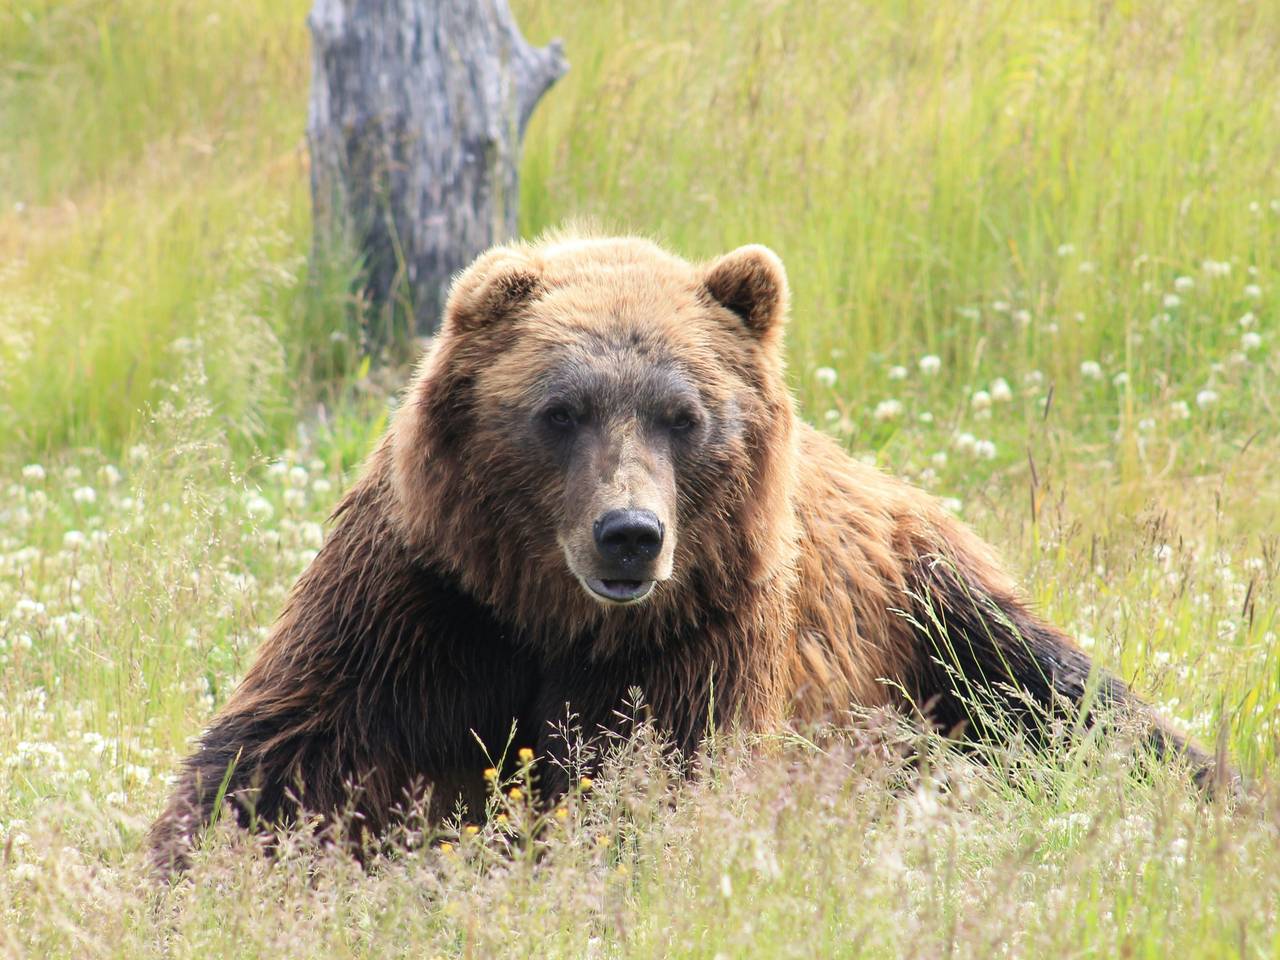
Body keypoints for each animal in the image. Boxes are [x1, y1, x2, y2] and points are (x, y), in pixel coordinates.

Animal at [148, 233, 1219, 875]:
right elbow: (287, 757)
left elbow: (654, 787)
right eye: (561, 410)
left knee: (1071, 702)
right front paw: (195, 872)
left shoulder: (699, 635)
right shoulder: (427, 602)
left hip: (933, 614)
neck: (555, 619)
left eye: (684, 414)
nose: (630, 533)